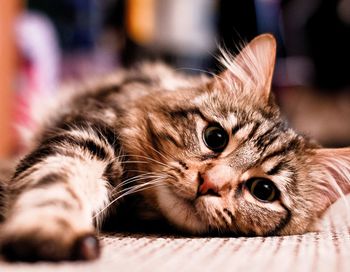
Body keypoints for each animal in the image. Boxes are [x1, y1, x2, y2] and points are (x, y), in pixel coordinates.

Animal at [0, 33, 350, 262]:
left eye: (263, 190)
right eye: (215, 137)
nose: (210, 183)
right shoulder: (86, 135)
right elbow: (57, 182)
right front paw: (48, 230)